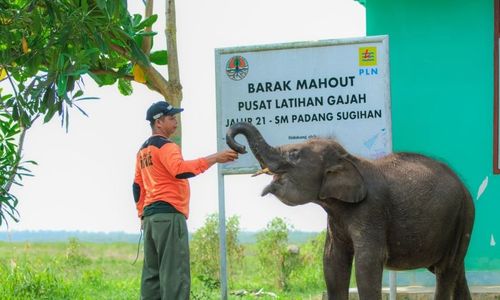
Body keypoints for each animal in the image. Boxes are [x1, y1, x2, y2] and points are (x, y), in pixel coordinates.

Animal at [225, 122, 474, 300]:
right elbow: (332, 262)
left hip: (463, 215)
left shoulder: (371, 209)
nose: (240, 148)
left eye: (294, 154)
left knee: (445, 270)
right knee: (456, 271)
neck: (348, 159)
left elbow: (367, 263)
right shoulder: (335, 217)